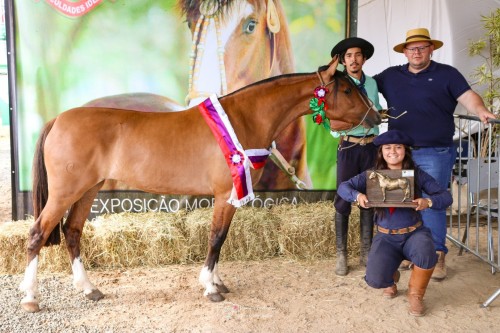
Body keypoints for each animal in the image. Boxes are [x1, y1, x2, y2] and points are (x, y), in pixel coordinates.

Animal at [17, 59, 380, 312]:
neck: (241, 120)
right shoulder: (223, 194)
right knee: (37, 234)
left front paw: (218, 281)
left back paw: (89, 288)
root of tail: (57, 120)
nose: (378, 117)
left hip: (88, 190)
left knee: (72, 232)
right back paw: (31, 297)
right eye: (348, 90)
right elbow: (216, 238)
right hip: (66, 192)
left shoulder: (231, 197)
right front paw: (209, 287)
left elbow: (222, 239)